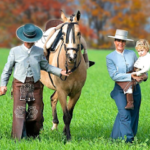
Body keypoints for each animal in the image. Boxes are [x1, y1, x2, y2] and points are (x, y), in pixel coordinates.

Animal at [36, 10, 87, 141]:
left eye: (79, 33)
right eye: (63, 34)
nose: (71, 56)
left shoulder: (76, 93)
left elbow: (70, 113)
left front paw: (65, 133)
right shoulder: (62, 91)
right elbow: (66, 115)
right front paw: (67, 138)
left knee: (53, 99)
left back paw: (55, 125)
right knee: (41, 103)